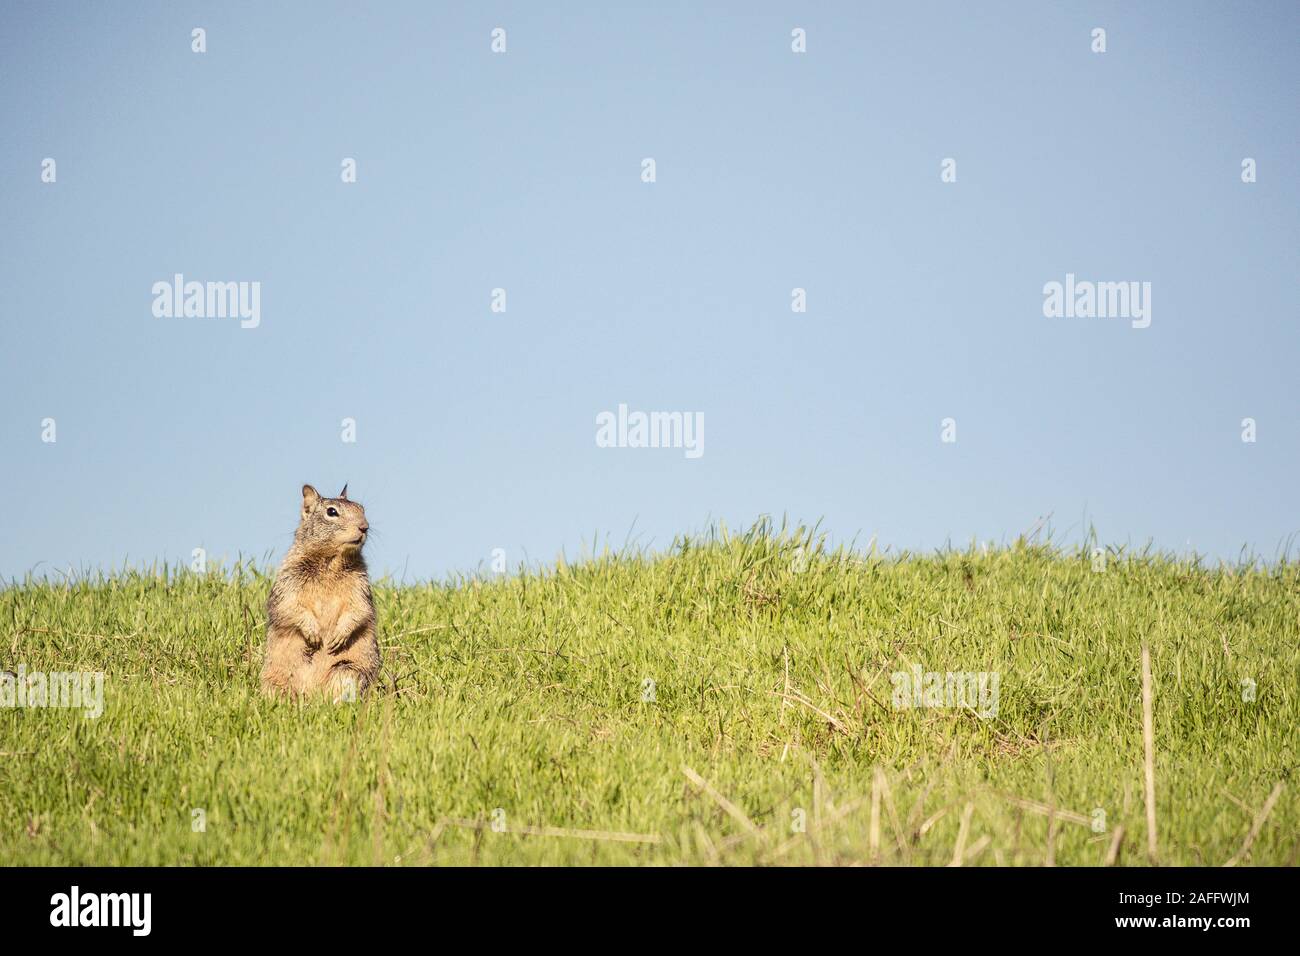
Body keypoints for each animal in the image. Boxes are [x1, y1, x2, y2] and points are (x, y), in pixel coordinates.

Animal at [260, 481, 379, 697]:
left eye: (362, 508)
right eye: (331, 512)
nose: (364, 527)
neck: (331, 563)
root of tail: (311, 693)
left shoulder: (360, 587)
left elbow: (359, 610)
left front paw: (339, 635)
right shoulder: (288, 583)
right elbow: (289, 607)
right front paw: (313, 633)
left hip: (347, 670)